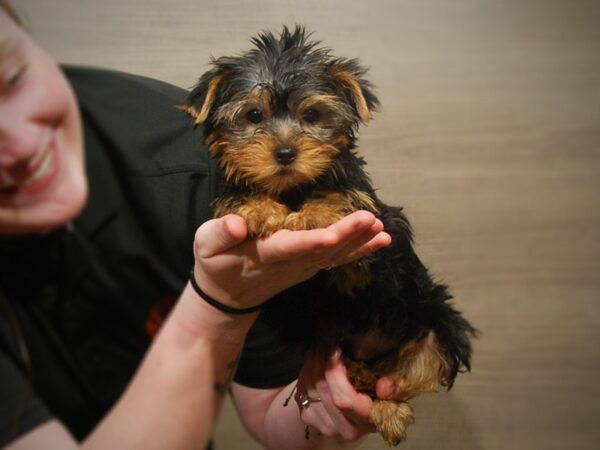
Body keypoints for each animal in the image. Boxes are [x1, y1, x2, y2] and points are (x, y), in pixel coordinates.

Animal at [185, 26, 476, 444]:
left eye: (312, 115)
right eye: (254, 115)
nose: (285, 153)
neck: (294, 189)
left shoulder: (378, 234)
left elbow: (342, 201)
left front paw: (315, 214)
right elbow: (238, 197)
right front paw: (258, 208)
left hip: (436, 324)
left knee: (409, 375)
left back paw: (389, 407)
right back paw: (361, 376)